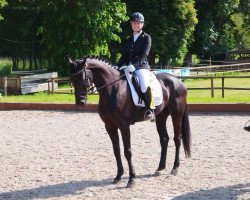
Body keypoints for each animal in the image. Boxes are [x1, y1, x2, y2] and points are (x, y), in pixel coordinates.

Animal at [68, 56, 191, 188]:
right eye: (71, 79)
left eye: (82, 77)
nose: (80, 102)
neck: (112, 89)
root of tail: (178, 81)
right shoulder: (110, 126)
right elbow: (116, 151)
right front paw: (118, 176)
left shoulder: (124, 126)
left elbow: (127, 151)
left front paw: (131, 179)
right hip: (161, 116)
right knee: (164, 139)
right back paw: (160, 168)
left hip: (176, 114)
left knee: (177, 139)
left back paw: (175, 168)